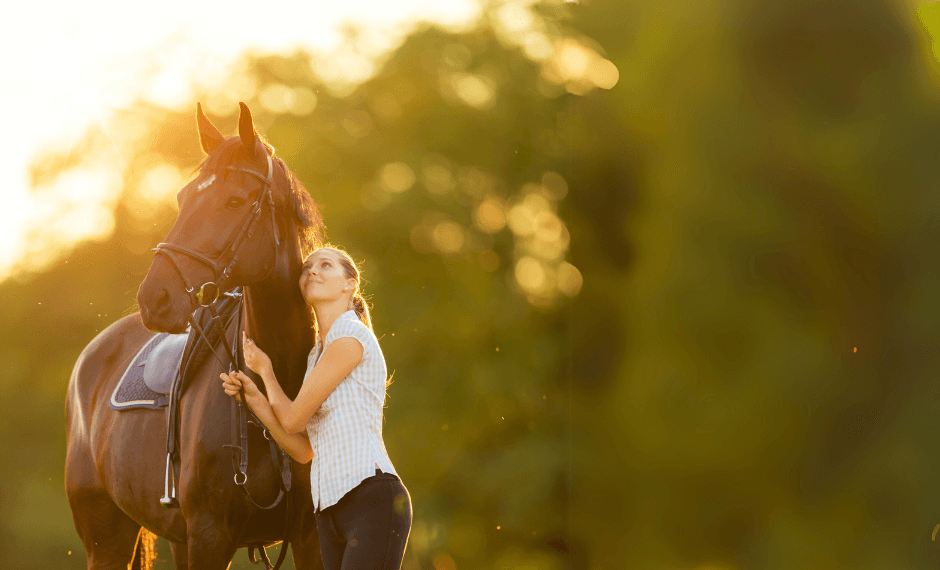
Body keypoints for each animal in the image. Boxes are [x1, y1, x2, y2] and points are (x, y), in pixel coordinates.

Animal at [66, 102, 325, 569]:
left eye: (234, 200)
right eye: (183, 199)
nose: (155, 297)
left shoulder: (310, 535)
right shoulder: (209, 536)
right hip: (106, 540)